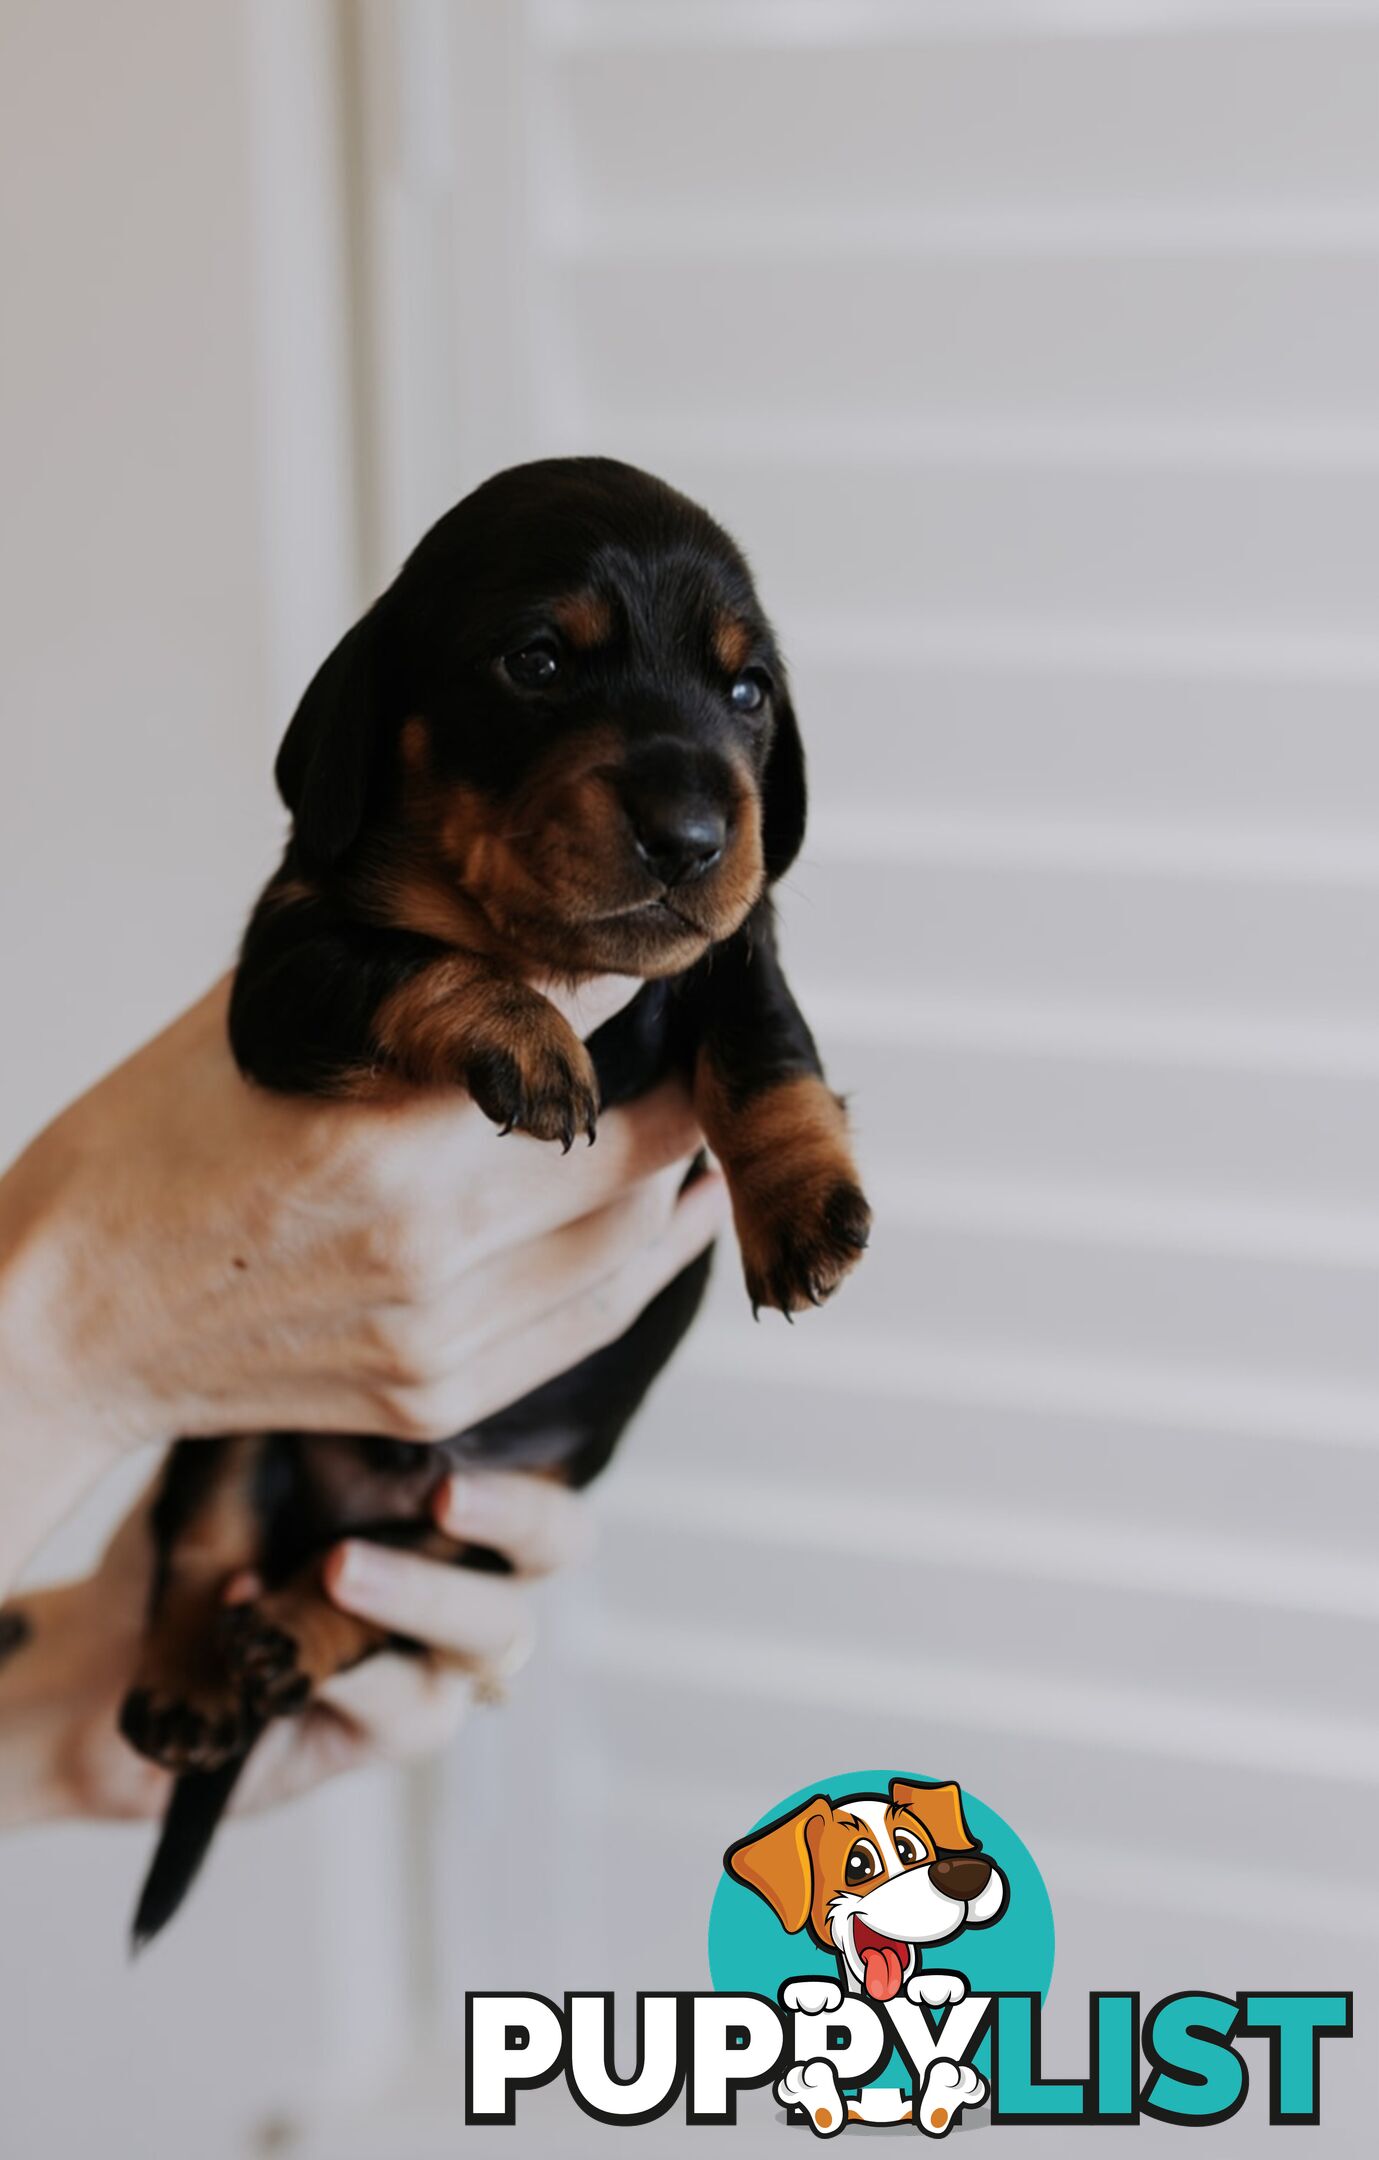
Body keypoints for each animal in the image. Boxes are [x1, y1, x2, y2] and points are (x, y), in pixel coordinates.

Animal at [121, 455, 873, 1944]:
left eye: (745, 690)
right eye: (535, 660)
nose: (694, 835)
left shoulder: (731, 947)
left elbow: (763, 1036)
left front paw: (805, 1198)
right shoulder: (285, 971)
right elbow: (408, 959)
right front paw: (521, 1034)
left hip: (520, 1503)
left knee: (396, 1589)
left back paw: (283, 1630)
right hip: (238, 1429)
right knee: (206, 1541)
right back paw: (192, 1676)